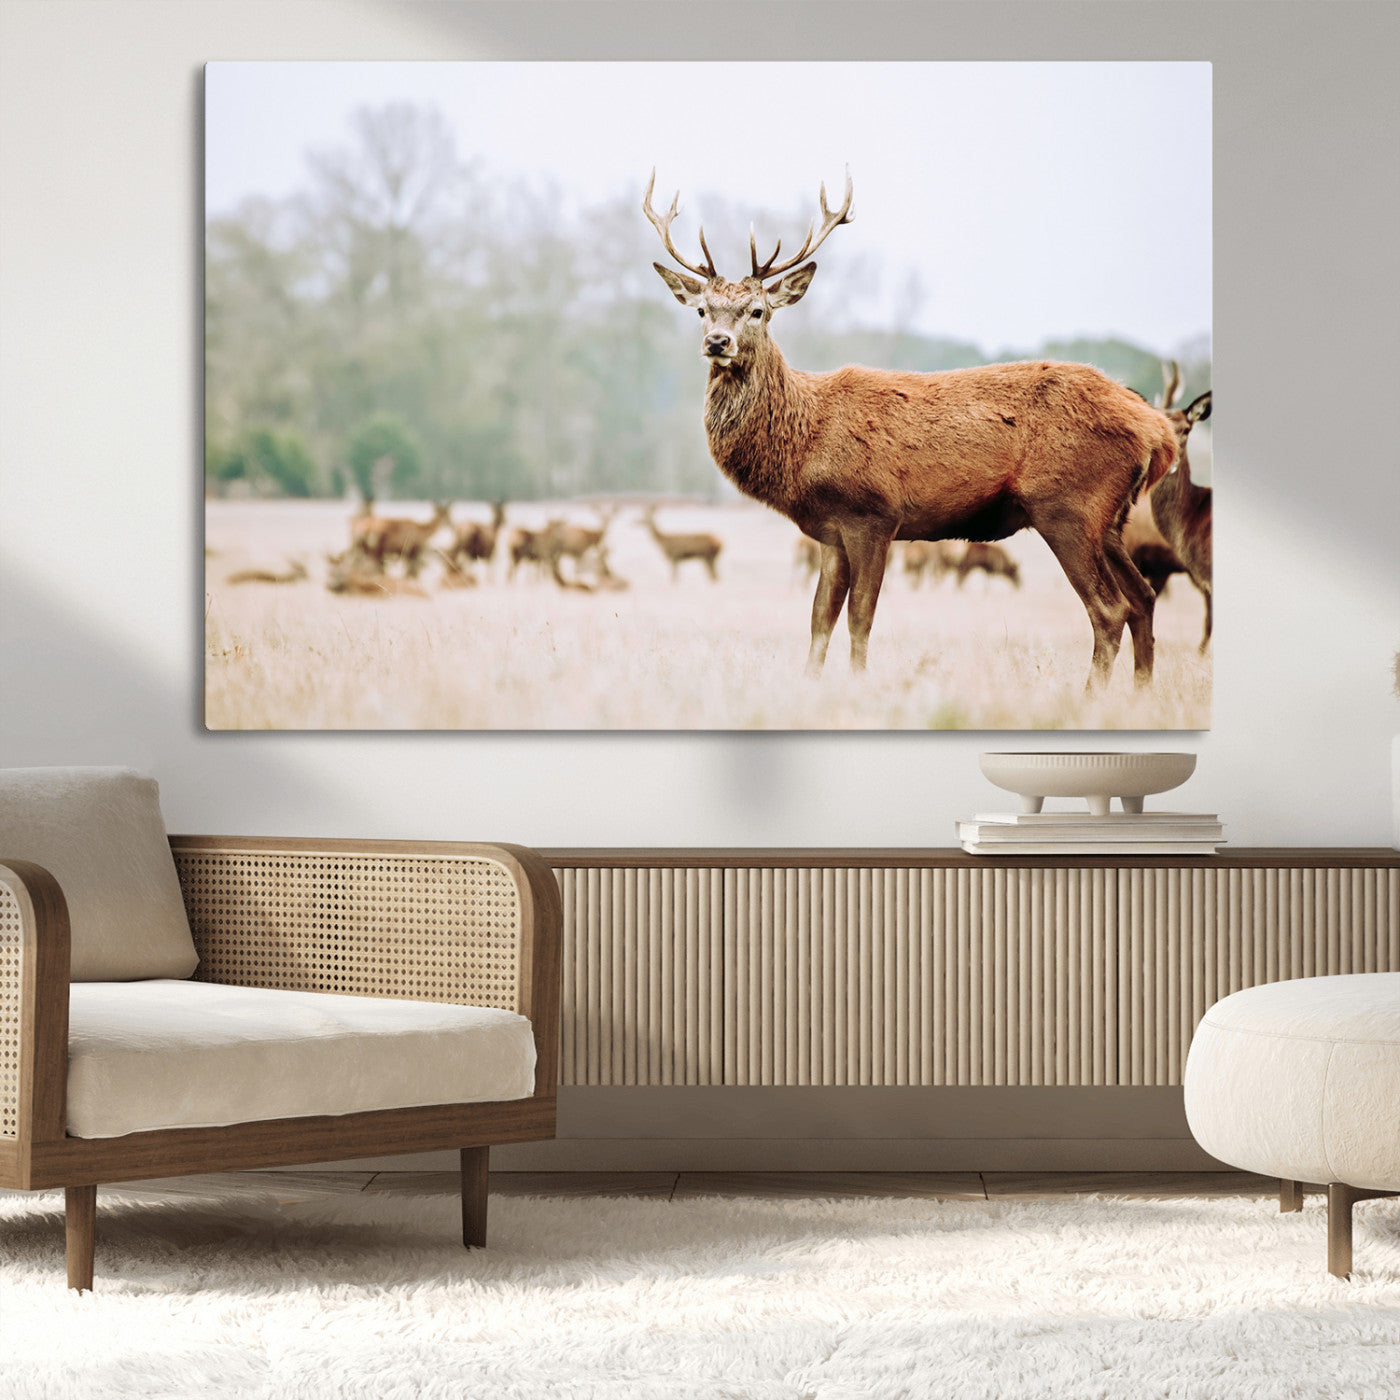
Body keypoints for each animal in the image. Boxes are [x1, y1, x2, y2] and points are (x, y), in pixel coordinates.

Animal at [644, 169, 1178, 686]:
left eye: (758, 311)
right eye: (701, 310)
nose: (717, 342)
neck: (805, 441)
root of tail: (1159, 431)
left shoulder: (873, 514)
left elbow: (860, 617)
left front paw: (859, 684)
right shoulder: (831, 531)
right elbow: (819, 618)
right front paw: (809, 684)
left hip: (1068, 505)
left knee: (1109, 609)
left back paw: (1092, 698)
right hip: (1110, 519)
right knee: (1144, 598)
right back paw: (1141, 694)